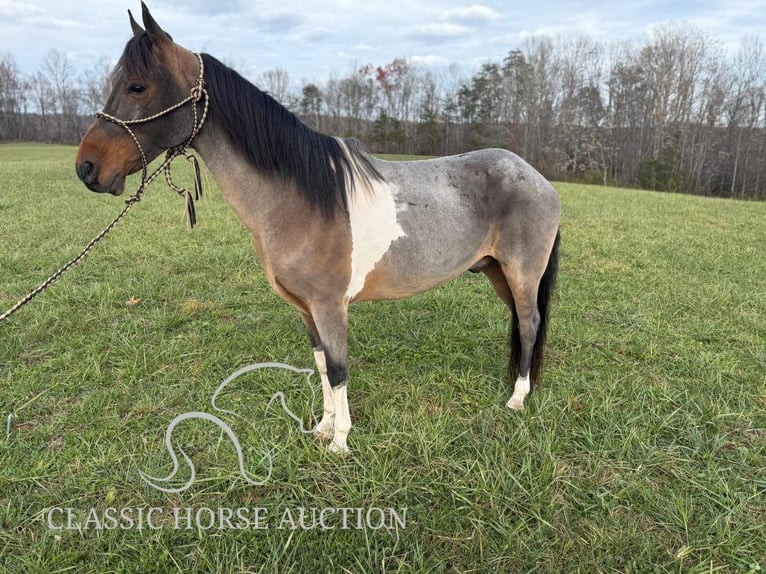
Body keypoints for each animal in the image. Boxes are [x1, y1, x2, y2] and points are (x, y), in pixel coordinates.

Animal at [75, 3, 560, 454]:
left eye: (137, 86)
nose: (87, 167)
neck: (300, 199)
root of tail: (537, 177)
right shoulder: (306, 309)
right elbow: (323, 365)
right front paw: (323, 428)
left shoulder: (331, 306)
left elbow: (340, 368)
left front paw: (341, 442)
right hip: (496, 271)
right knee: (522, 324)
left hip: (521, 274)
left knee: (530, 323)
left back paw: (517, 399)